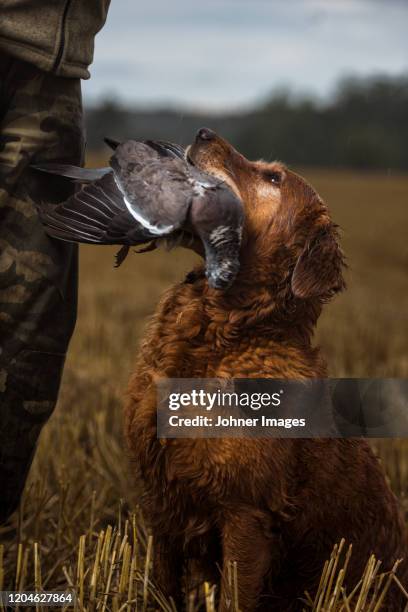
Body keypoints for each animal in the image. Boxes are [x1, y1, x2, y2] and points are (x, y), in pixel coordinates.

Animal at [125, 128, 408, 608]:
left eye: (273, 177)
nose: (203, 132)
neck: (220, 336)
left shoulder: (246, 513)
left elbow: (234, 597)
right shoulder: (161, 500)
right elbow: (163, 586)